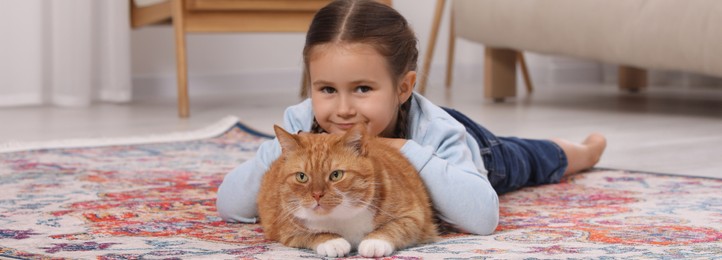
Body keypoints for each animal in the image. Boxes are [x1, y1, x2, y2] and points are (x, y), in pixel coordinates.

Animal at [256, 124, 436, 258]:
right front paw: (332, 241)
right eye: (302, 177)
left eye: (336, 175)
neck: (342, 217)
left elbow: (393, 228)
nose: (317, 194)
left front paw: (374, 242)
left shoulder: (414, 216)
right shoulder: (286, 230)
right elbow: (312, 234)